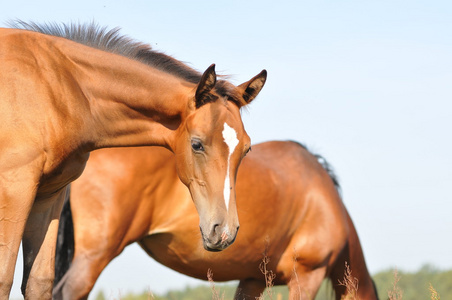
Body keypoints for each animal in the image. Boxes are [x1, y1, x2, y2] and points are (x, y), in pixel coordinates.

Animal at [0, 20, 264, 298]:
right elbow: (4, 278)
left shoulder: (49, 195)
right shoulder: (15, 189)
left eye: (246, 149)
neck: (58, 89)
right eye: (197, 144)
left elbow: (38, 281)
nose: (223, 231)